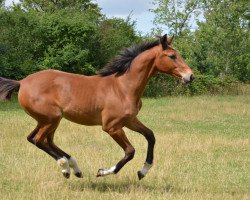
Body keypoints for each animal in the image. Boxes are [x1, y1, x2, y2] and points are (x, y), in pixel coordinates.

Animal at [0, 34, 193, 180]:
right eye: (172, 56)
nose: (190, 76)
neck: (123, 87)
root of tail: (22, 82)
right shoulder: (112, 127)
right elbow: (130, 151)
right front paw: (102, 172)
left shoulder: (130, 121)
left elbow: (150, 136)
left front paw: (143, 171)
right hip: (51, 118)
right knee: (39, 140)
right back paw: (66, 167)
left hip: (48, 120)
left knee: (40, 139)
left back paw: (74, 167)